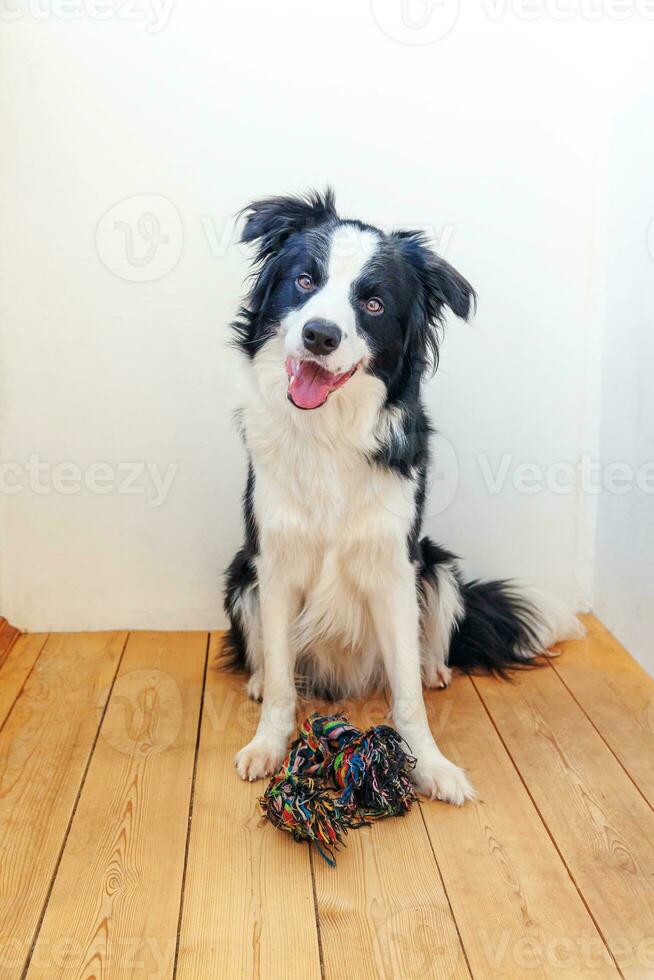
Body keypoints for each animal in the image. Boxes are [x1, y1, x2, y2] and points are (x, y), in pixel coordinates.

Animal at [227, 191, 584, 804]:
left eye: (372, 304)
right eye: (304, 280)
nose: (320, 334)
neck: (329, 431)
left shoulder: (396, 564)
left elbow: (408, 701)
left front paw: (430, 765)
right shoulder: (274, 563)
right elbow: (281, 684)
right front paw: (267, 745)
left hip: (436, 565)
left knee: (426, 645)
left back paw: (433, 669)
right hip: (239, 575)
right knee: (268, 660)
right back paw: (255, 678)